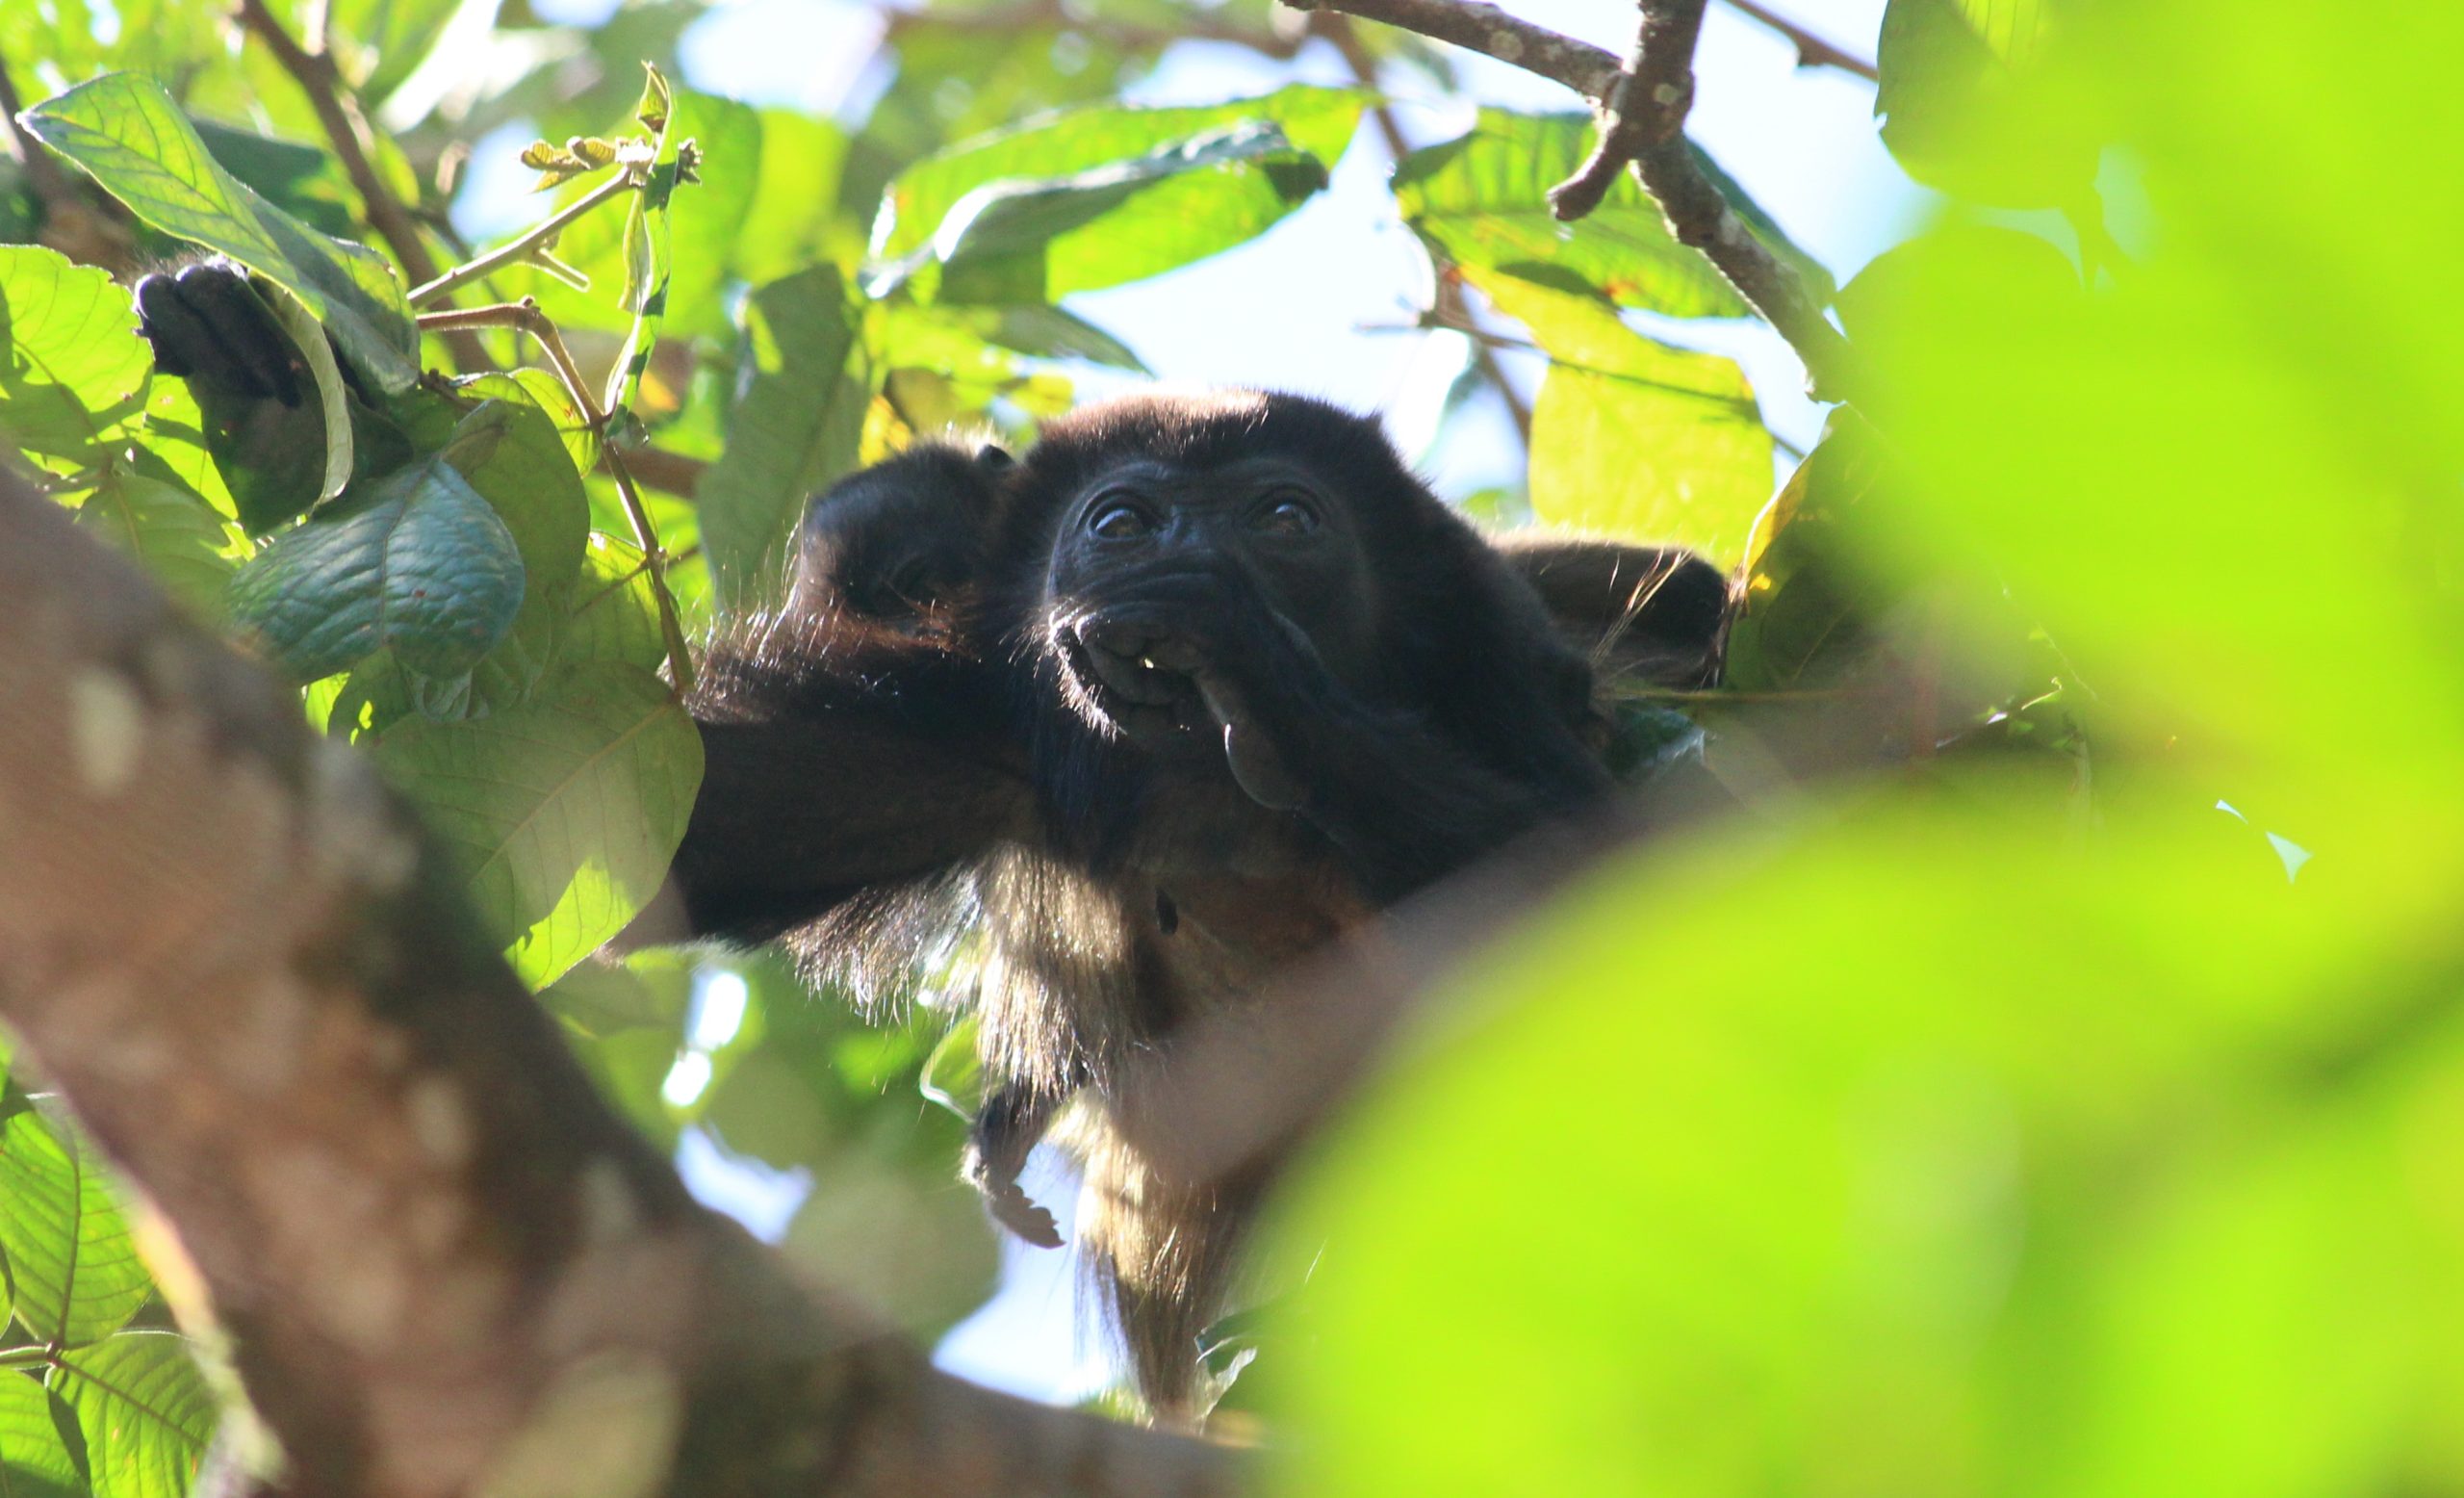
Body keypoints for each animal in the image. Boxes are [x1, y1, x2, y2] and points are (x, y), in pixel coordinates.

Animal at [665, 389, 1725, 1419]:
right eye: (1121, 524)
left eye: (1284, 518)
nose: (1186, 560)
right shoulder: (974, 713)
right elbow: (703, 822)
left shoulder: (1479, 628)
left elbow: (1597, 881)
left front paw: (1256, 667)